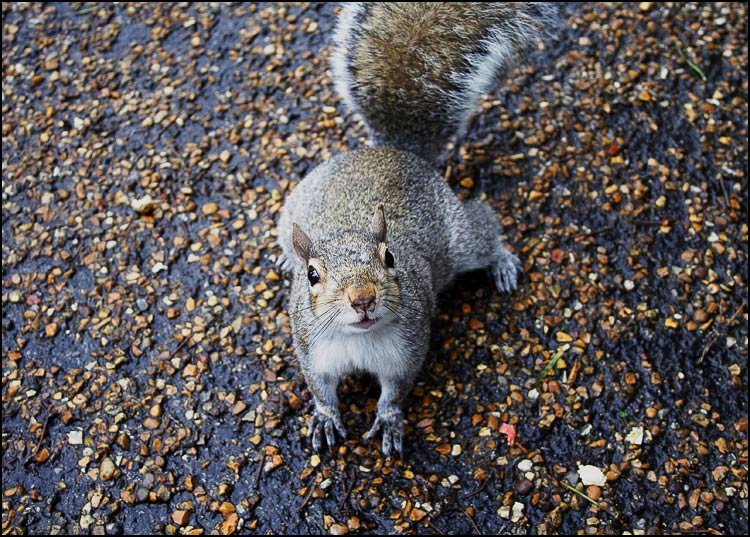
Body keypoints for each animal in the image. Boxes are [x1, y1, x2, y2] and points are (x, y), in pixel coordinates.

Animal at [276, 3, 557, 456]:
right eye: (312, 276)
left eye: (390, 257)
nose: (363, 298)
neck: (359, 340)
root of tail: (394, 151)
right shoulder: (311, 348)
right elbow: (320, 388)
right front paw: (326, 417)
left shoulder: (407, 349)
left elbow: (396, 390)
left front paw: (389, 419)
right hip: (290, 211)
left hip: (459, 239)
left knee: (482, 225)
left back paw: (501, 262)